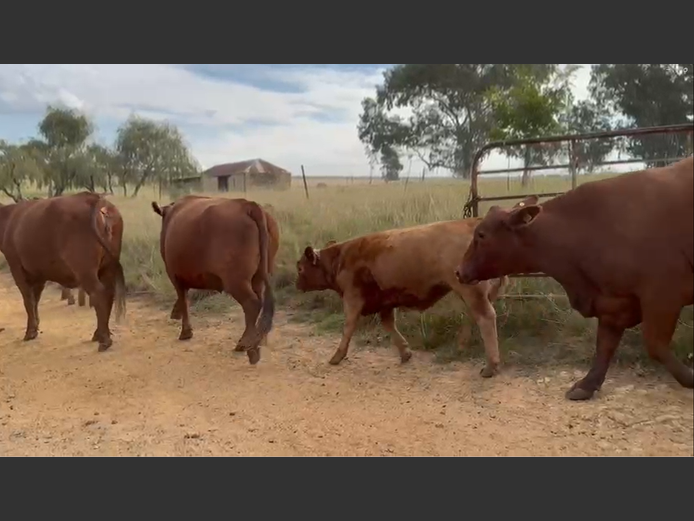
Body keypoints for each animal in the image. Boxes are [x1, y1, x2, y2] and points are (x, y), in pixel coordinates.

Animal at [0, 191, 126, 351]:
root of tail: (94, 198)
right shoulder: (39, 274)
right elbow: (35, 300)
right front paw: (35, 327)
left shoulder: (16, 267)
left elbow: (28, 300)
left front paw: (30, 332)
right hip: (107, 267)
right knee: (109, 294)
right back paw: (99, 334)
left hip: (85, 270)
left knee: (99, 293)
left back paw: (104, 340)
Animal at [151, 195, 279, 365]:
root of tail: (248, 205)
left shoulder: (174, 274)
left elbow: (183, 299)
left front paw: (185, 331)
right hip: (259, 276)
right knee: (259, 302)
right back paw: (258, 339)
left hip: (235, 280)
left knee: (252, 304)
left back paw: (246, 345)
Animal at [295, 219, 509, 375]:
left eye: (300, 268)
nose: (297, 285)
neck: (341, 257)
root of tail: (471, 224)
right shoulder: (385, 301)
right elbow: (389, 324)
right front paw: (405, 353)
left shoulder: (352, 298)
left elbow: (348, 326)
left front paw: (337, 356)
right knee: (475, 316)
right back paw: (462, 346)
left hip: (471, 291)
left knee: (485, 318)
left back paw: (491, 366)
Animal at [455, 155, 694, 401]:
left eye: (481, 235)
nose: (459, 271)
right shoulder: (613, 302)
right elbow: (605, 345)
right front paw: (587, 384)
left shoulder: (662, 295)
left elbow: (655, 346)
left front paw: (690, 378)